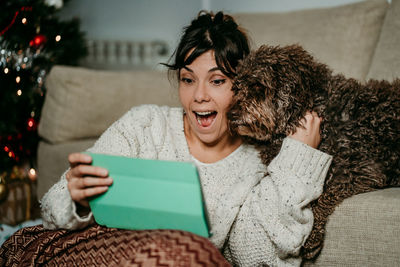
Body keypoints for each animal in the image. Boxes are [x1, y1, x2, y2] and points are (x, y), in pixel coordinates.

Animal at [228, 44, 400, 262]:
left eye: (258, 86)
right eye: (237, 88)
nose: (230, 115)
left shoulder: (358, 169)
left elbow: (324, 195)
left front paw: (312, 238)